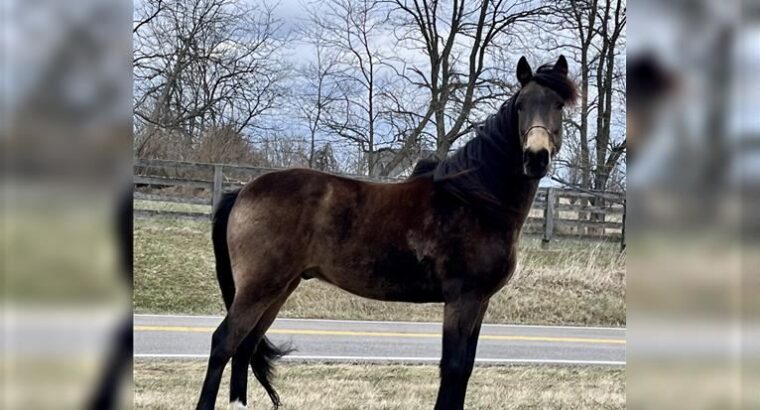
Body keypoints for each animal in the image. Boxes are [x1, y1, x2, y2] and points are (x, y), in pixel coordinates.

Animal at [196, 55, 576, 410]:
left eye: (558, 105)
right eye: (521, 104)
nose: (536, 157)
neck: (474, 198)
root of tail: (242, 190)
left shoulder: (479, 302)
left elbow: (465, 368)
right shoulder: (462, 300)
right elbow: (453, 368)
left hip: (279, 288)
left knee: (245, 347)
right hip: (259, 288)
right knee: (224, 343)